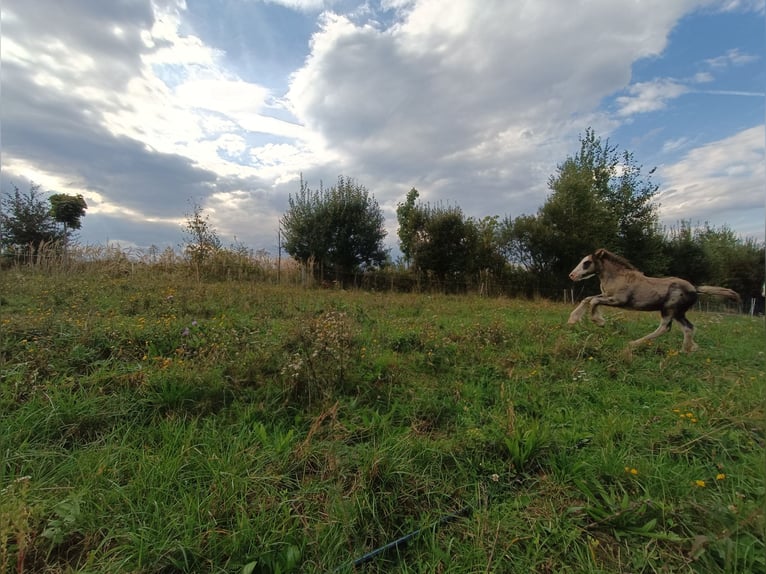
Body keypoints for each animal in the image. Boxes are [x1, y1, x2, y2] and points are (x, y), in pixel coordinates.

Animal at [568, 250, 740, 354]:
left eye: (587, 263)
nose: (572, 275)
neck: (617, 277)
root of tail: (694, 288)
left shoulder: (618, 300)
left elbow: (594, 301)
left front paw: (599, 322)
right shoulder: (607, 295)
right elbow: (588, 299)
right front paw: (572, 320)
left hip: (669, 310)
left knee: (665, 328)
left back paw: (633, 344)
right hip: (678, 313)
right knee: (688, 328)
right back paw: (686, 350)